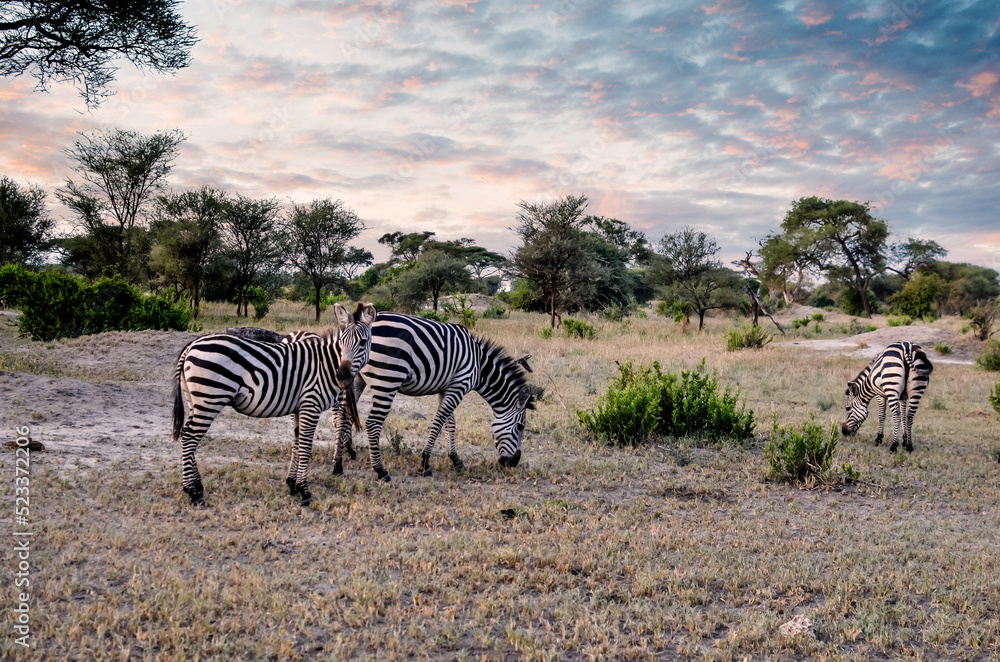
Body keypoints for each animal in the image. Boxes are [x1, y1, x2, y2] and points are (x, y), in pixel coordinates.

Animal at [172, 302, 377, 506]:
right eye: (342, 341)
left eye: (362, 342)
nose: (341, 376)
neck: (325, 365)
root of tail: (191, 345)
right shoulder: (311, 405)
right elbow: (305, 447)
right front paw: (304, 491)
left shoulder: (299, 407)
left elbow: (297, 443)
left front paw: (292, 485)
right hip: (210, 398)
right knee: (189, 436)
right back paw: (192, 492)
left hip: (195, 399)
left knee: (187, 434)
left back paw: (197, 486)